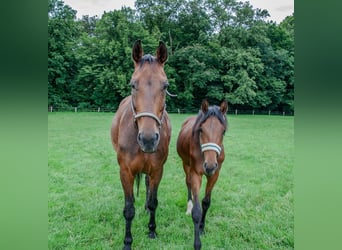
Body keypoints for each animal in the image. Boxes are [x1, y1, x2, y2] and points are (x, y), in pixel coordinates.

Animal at [111, 40, 172, 249]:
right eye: (133, 84)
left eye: (165, 85)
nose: (148, 139)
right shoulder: (125, 172)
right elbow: (128, 209)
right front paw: (127, 242)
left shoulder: (158, 170)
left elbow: (154, 201)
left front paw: (152, 230)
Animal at [176, 99, 227, 250]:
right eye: (201, 130)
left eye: (223, 131)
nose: (209, 165)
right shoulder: (195, 174)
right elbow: (197, 212)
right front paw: (197, 243)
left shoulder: (215, 174)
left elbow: (205, 203)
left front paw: (202, 228)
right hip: (185, 164)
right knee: (188, 183)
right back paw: (189, 206)